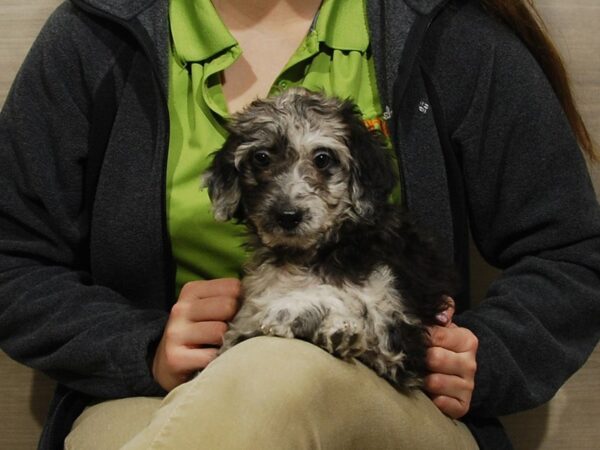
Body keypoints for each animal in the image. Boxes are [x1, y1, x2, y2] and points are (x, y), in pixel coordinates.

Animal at [203, 89, 454, 390]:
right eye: (261, 157)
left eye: (322, 158)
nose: (288, 216)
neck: (313, 253)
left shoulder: (398, 333)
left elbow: (347, 298)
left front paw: (293, 310)